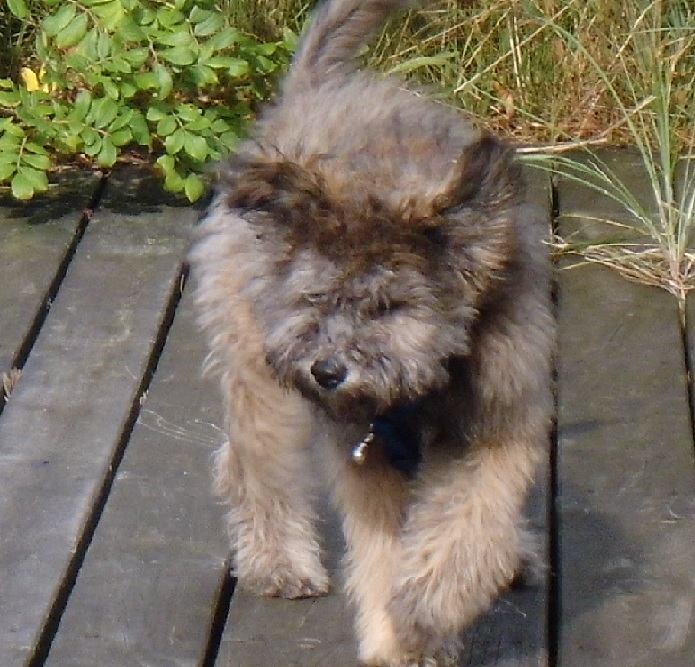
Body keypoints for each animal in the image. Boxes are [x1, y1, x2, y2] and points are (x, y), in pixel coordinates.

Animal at [189, 2, 556, 664]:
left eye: (389, 306)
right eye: (314, 298)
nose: (327, 371)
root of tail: (313, 91)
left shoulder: (497, 423)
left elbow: (470, 527)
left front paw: (428, 609)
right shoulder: (367, 454)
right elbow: (384, 550)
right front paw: (396, 637)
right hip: (259, 369)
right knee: (252, 464)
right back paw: (279, 562)